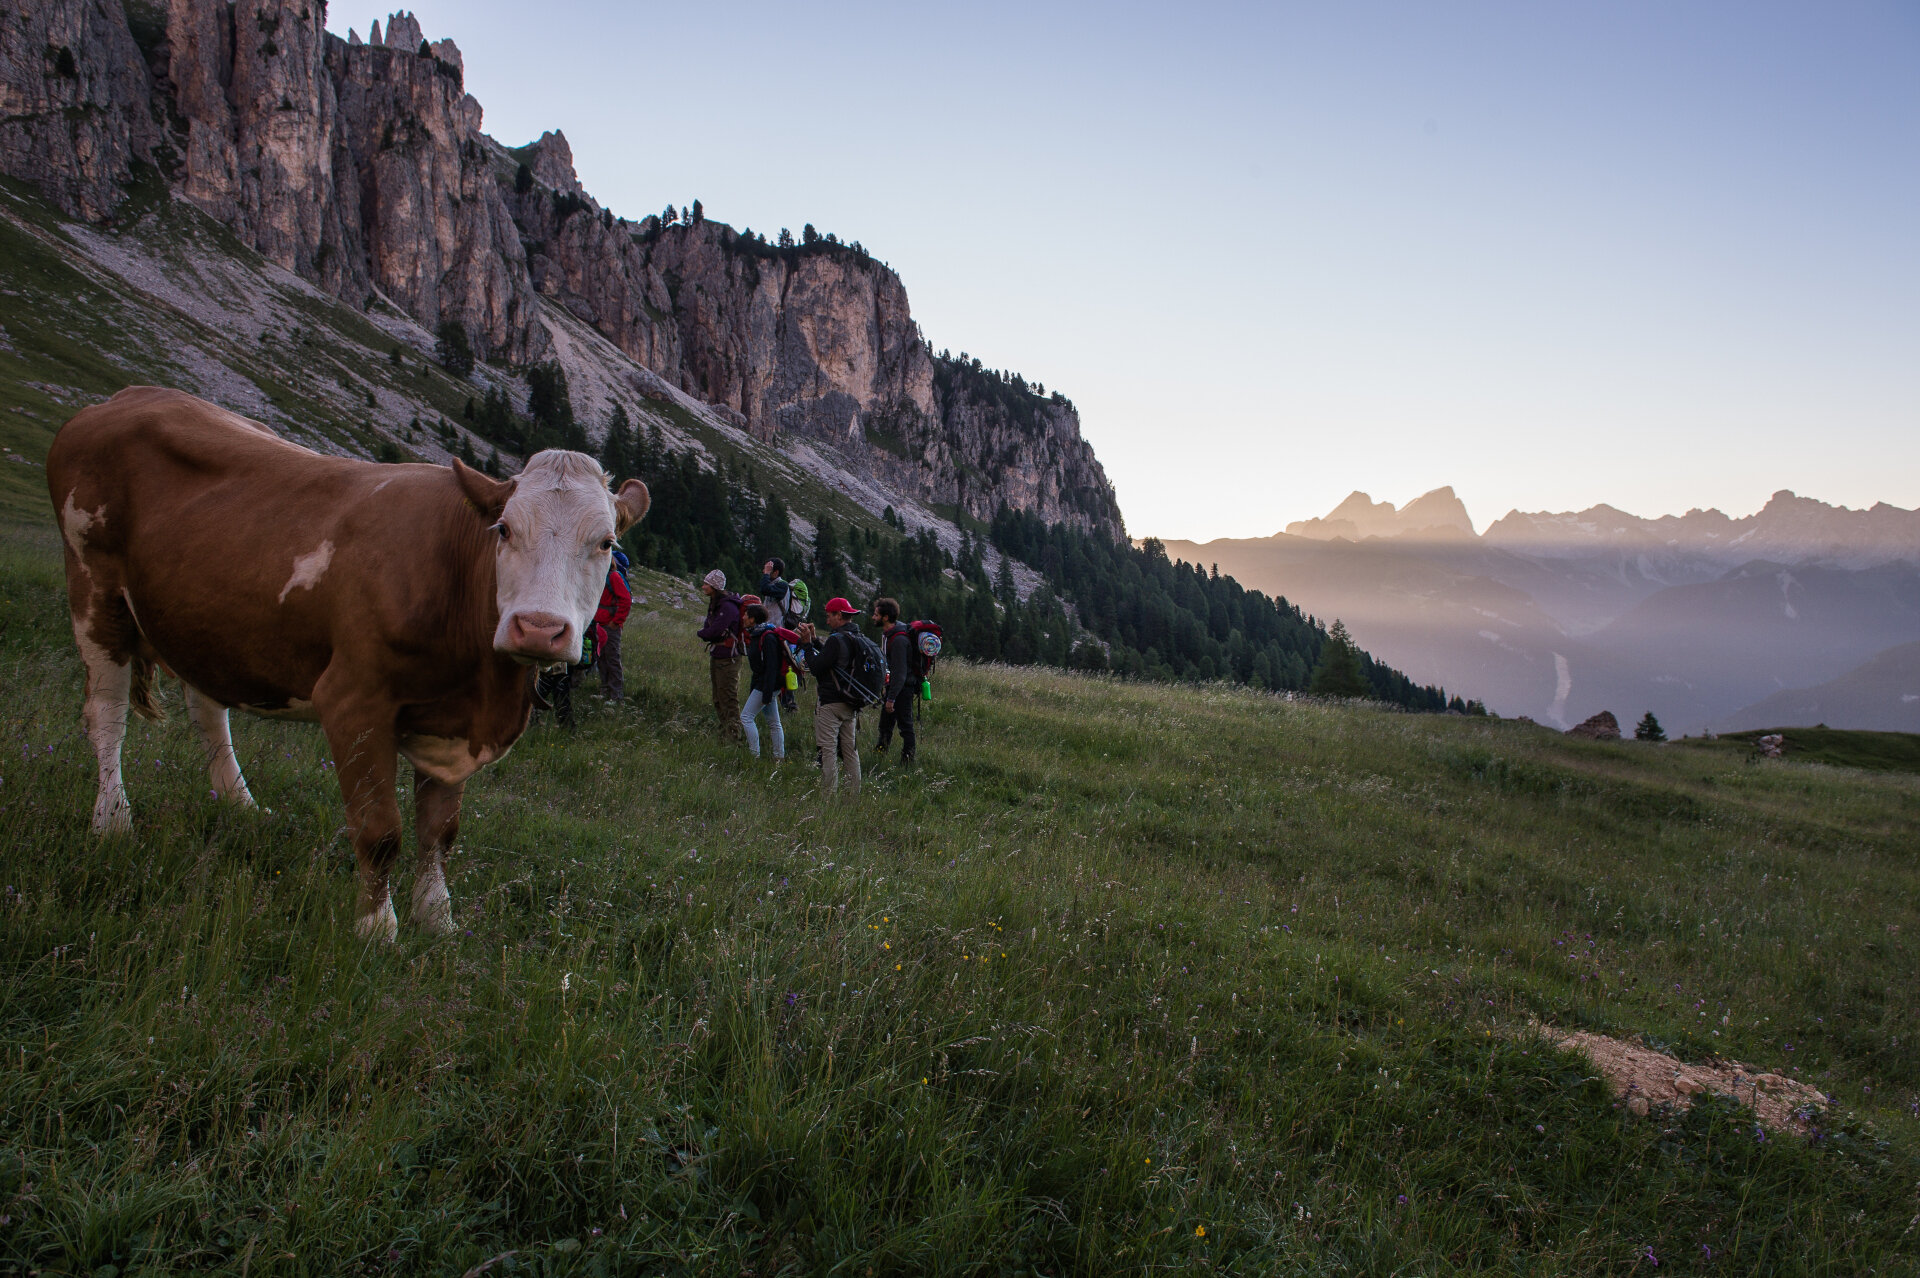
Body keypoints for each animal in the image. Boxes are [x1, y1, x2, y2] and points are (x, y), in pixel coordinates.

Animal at [48, 385, 648, 936]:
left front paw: (437, 920)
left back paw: (240, 805)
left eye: (606, 542)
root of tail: (124, 398)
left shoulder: (450, 724)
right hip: (93, 591)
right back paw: (112, 822)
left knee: (208, 708)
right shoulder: (353, 699)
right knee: (105, 715)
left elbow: (440, 832)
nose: (539, 629)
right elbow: (380, 831)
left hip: (201, 617)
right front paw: (377, 929)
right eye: (504, 530)